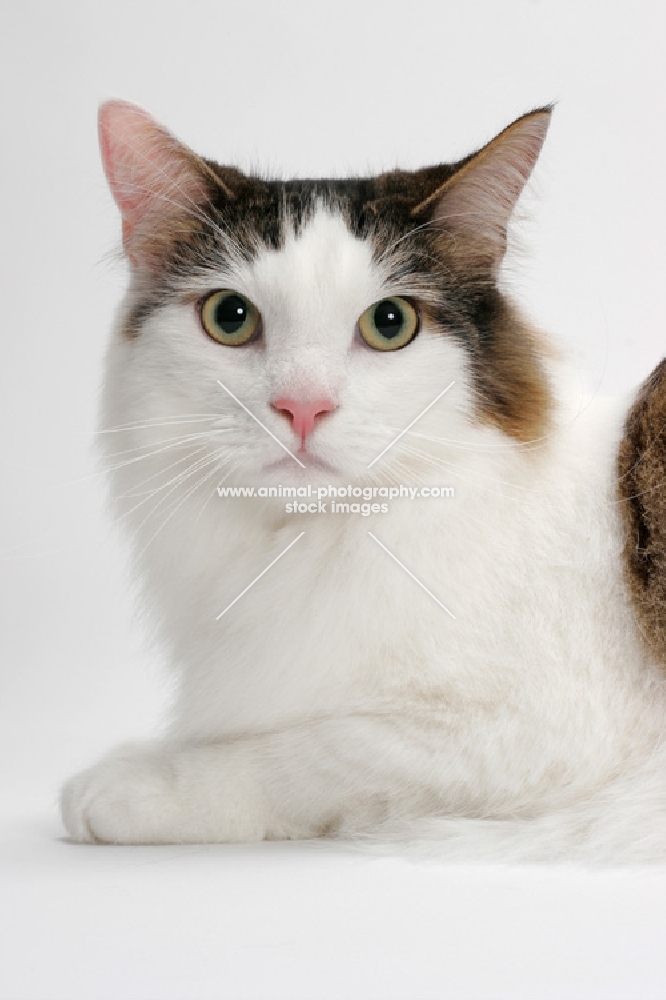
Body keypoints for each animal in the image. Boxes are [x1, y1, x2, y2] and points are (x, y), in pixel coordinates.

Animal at [58, 103, 664, 868]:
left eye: (390, 323)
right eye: (230, 317)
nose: (303, 406)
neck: (318, 543)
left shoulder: (533, 735)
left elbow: (301, 754)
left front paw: (139, 785)